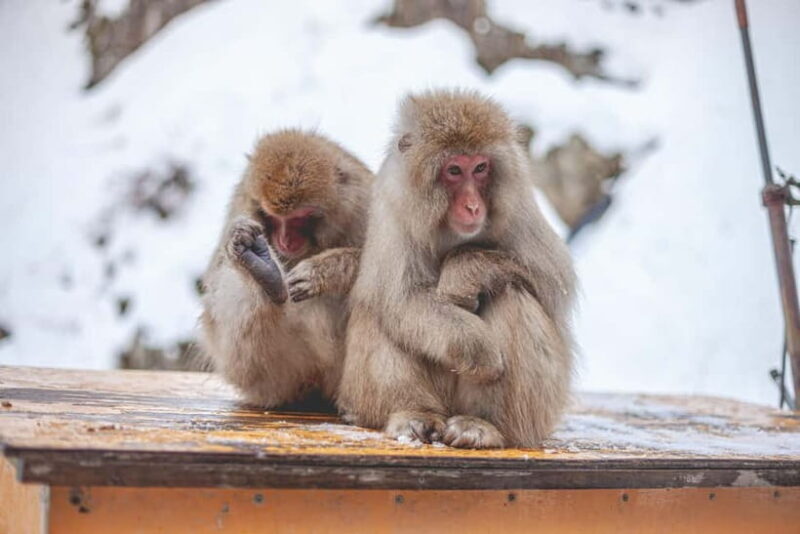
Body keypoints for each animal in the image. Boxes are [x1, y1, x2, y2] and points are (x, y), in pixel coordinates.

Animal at [199, 130, 373, 408]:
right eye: (273, 218)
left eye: (300, 218)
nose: (284, 241)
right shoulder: (241, 203)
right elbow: (215, 275)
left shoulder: (364, 203)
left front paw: (322, 272)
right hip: (262, 377)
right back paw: (264, 273)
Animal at [334, 90, 576, 448]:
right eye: (454, 170)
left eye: (480, 168)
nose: (473, 206)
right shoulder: (393, 208)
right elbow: (399, 298)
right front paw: (479, 348)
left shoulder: (518, 206)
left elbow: (553, 283)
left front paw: (464, 270)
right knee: (379, 310)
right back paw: (414, 414)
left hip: (537, 413)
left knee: (511, 293)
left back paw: (483, 425)